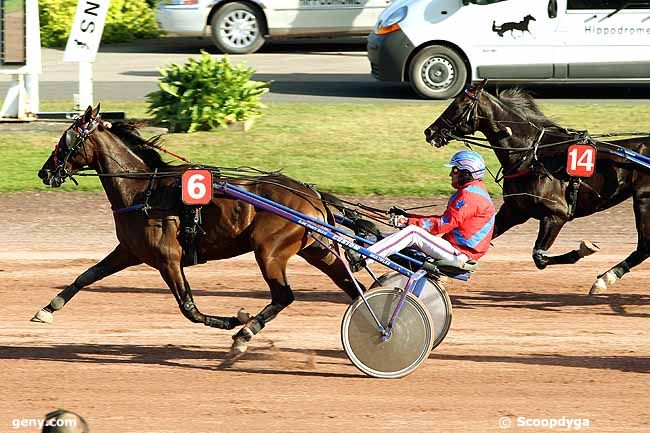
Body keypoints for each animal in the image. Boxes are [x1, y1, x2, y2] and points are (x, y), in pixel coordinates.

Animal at [35, 104, 362, 358]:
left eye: (67, 140)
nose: (44, 172)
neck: (144, 190)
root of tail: (313, 195)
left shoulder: (168, 259)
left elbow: (188, 307)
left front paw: (234, 320)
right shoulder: (129, 251)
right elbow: (87, 275)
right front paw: (48, 308)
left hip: (269, 251)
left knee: (284, 295)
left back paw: (245, 335)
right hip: (315, 249)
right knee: (349, 284)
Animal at [422, 79, 648, 296]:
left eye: (459, 105)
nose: (429, 131)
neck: (532, 156)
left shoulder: (556, 215)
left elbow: (539, 257)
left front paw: (584, 249)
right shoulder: (514, 211)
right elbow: (486, 236)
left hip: (643, 200)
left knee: (644, 246)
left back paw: (604, 280)